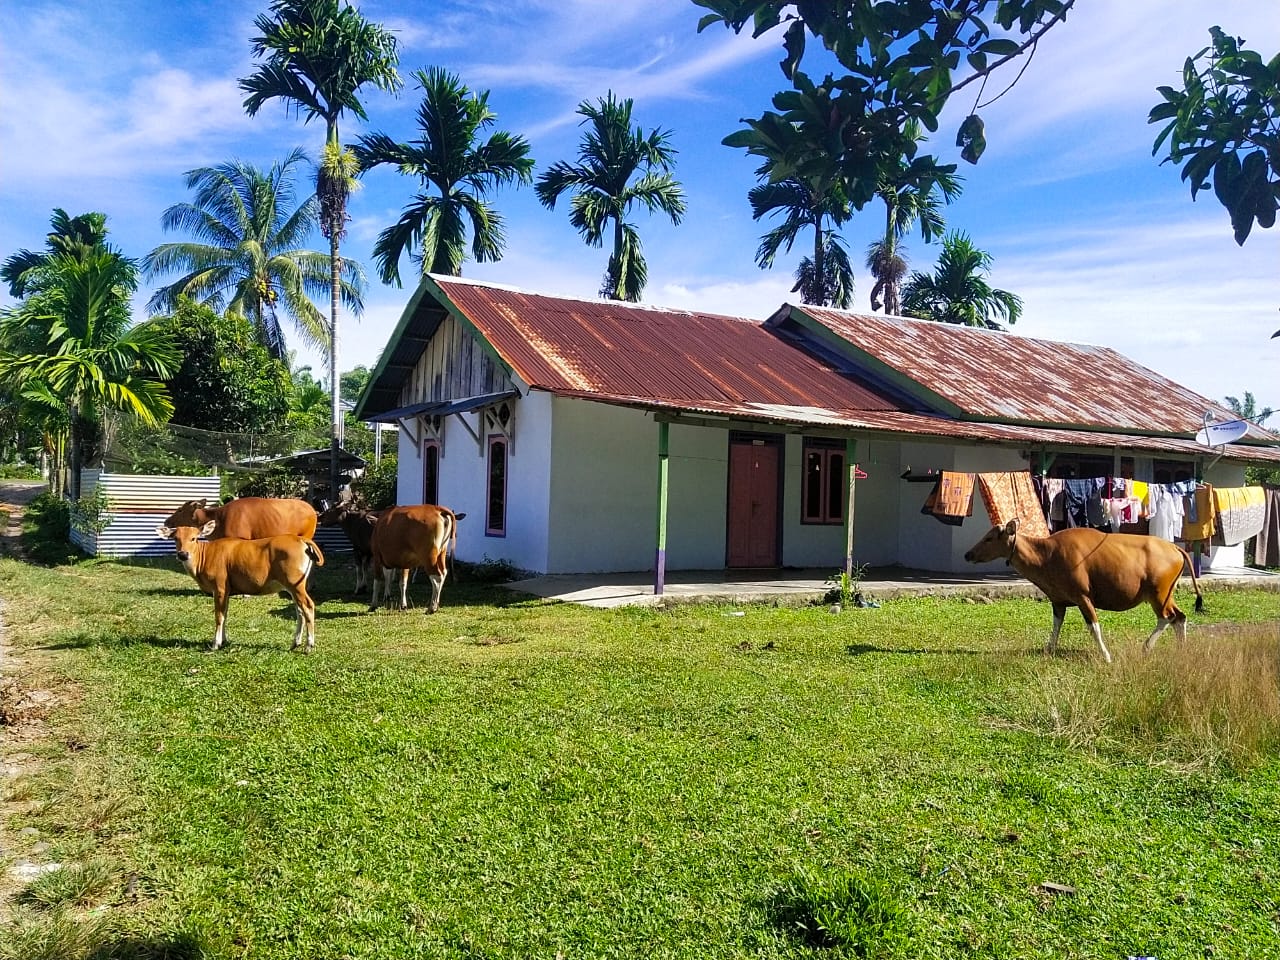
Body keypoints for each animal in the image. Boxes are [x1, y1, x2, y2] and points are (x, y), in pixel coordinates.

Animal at [156, 527, 325, 655]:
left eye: (194, 538)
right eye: (175, 538)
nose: (183, 554)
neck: (206, 555)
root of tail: (299, 539)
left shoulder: (219, 589)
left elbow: (219, 617)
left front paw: (216, 643)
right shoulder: (226, 592)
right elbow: (225, 615)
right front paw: (223, 640)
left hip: (295, 585)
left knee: (308, 607)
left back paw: (309, 645)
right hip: (293, 587)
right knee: (299, 610)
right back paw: (295, 643)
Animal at [962, 522, 1203, 665]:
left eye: (989, 538)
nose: (968, 554)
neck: (1047, 554)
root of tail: (1175, 548)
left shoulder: (1083, 597)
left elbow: (1093, 627)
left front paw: (1106, 656)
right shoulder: (1058, 601)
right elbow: (1056, 627)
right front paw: (1048, 650)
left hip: (1158, 594)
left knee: (1166, 617)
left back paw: (1145, 647)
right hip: (1166, 595)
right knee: (1179, 617)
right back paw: (1182, 650)